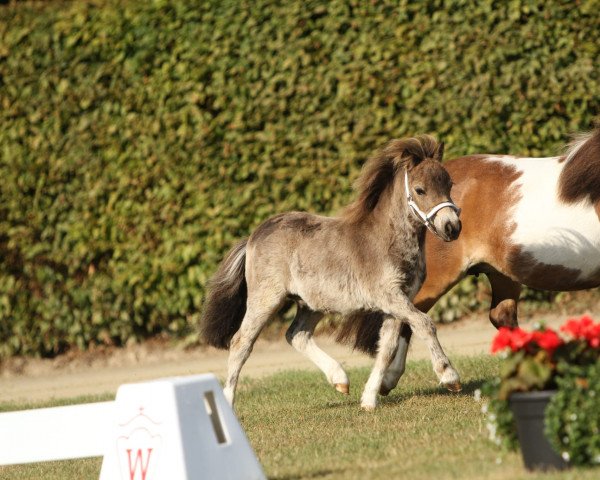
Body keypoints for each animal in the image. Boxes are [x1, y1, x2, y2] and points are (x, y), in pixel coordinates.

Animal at [199, 135, 462, 408]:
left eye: (449, 184)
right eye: (420, 190)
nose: (452, 227)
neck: (387, 240)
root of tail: (253, 236)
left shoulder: (400, 300)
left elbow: (387, 348)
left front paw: (369, 400)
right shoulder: (388, 296)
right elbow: (424, 324)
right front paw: (449, 376)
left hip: (311, 303)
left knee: (296, 335)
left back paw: (340, 379)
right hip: (265, 299)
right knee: (241, 342)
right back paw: (228, 403)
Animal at [340, 127, 600, 398]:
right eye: (421, 190)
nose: (451, 226)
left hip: (502, 273)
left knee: (500, 316)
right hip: (438, 278)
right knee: (410, 314)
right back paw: (418, 377)